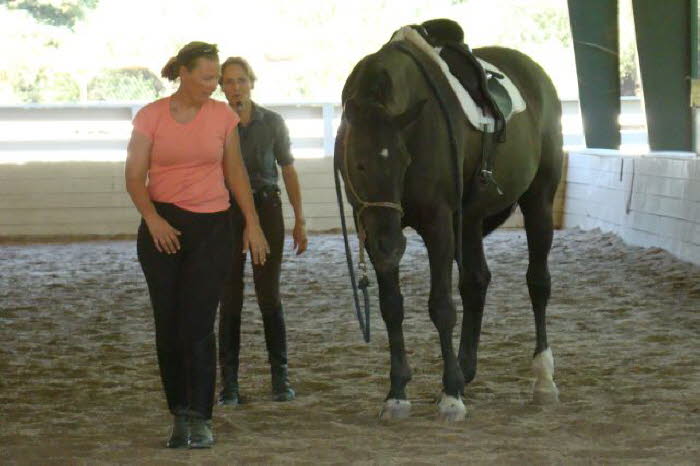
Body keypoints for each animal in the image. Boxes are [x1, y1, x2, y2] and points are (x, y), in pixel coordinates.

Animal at [336, 29, 560, 422]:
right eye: (358, 163)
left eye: (403, 160)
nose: (390, 246)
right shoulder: (374, 228)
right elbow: (391, 306)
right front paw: (397, 393)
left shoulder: (438, 224)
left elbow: (441, 306)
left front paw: (451, 395)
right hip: (469, 222)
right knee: (476, 283)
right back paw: (465, 368)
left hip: (539, 202)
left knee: (538, 283)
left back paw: (542, 378)